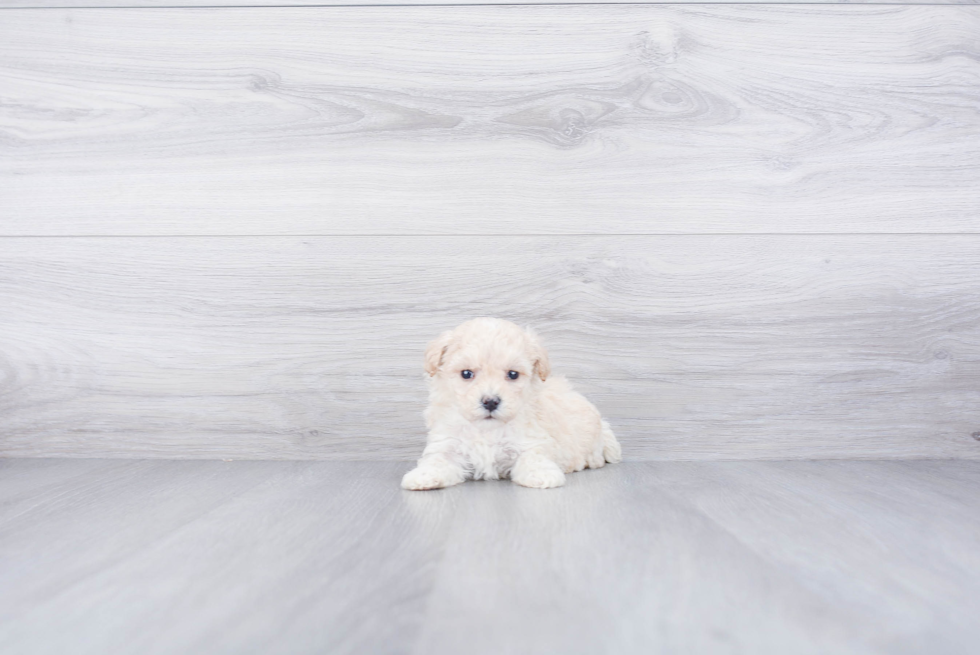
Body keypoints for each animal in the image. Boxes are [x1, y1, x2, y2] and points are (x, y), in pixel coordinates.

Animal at [400, 318, 620, 492]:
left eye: (513, 374)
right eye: (466, 373)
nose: (490, 401)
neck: (487, 429)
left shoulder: (530, 440)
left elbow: (532, 457)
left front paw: (541, 474)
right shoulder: (447, 443)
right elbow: (438, 460)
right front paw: (423, 476)